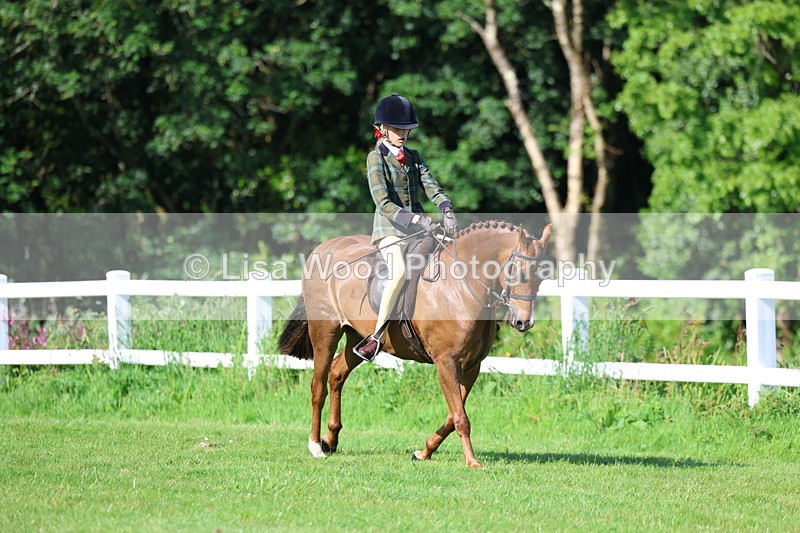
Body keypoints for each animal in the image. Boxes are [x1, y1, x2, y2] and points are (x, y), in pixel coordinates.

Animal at [278, 220, 552, 468]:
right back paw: (316, 446)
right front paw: (473, 462)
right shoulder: (446, 362)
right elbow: (460, 417)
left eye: (542, 277)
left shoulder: (472, 366)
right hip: (325, 332)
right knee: (318, 387)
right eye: (518, 272)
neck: (461, 288)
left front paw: (423, 452)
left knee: (336, 374)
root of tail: (323, 248)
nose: (523, 322)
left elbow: (453, 415)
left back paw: (331, 439)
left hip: (357, 337)